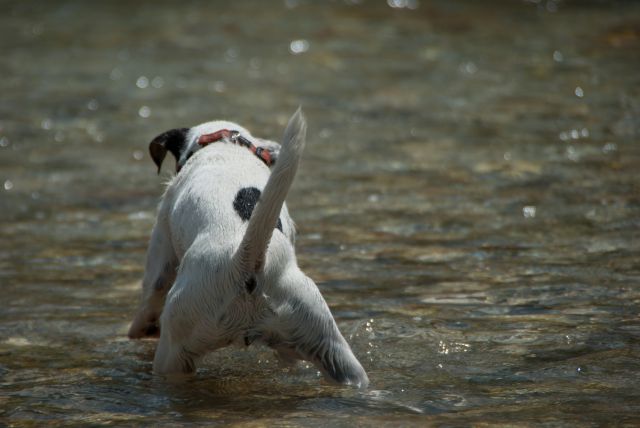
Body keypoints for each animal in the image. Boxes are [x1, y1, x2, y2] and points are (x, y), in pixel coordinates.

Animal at [129, 108, 370, 388]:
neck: (225, 145)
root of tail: (246, 261)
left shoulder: (162, 241)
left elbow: (152, 289)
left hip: (175, 349)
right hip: (329, 345)